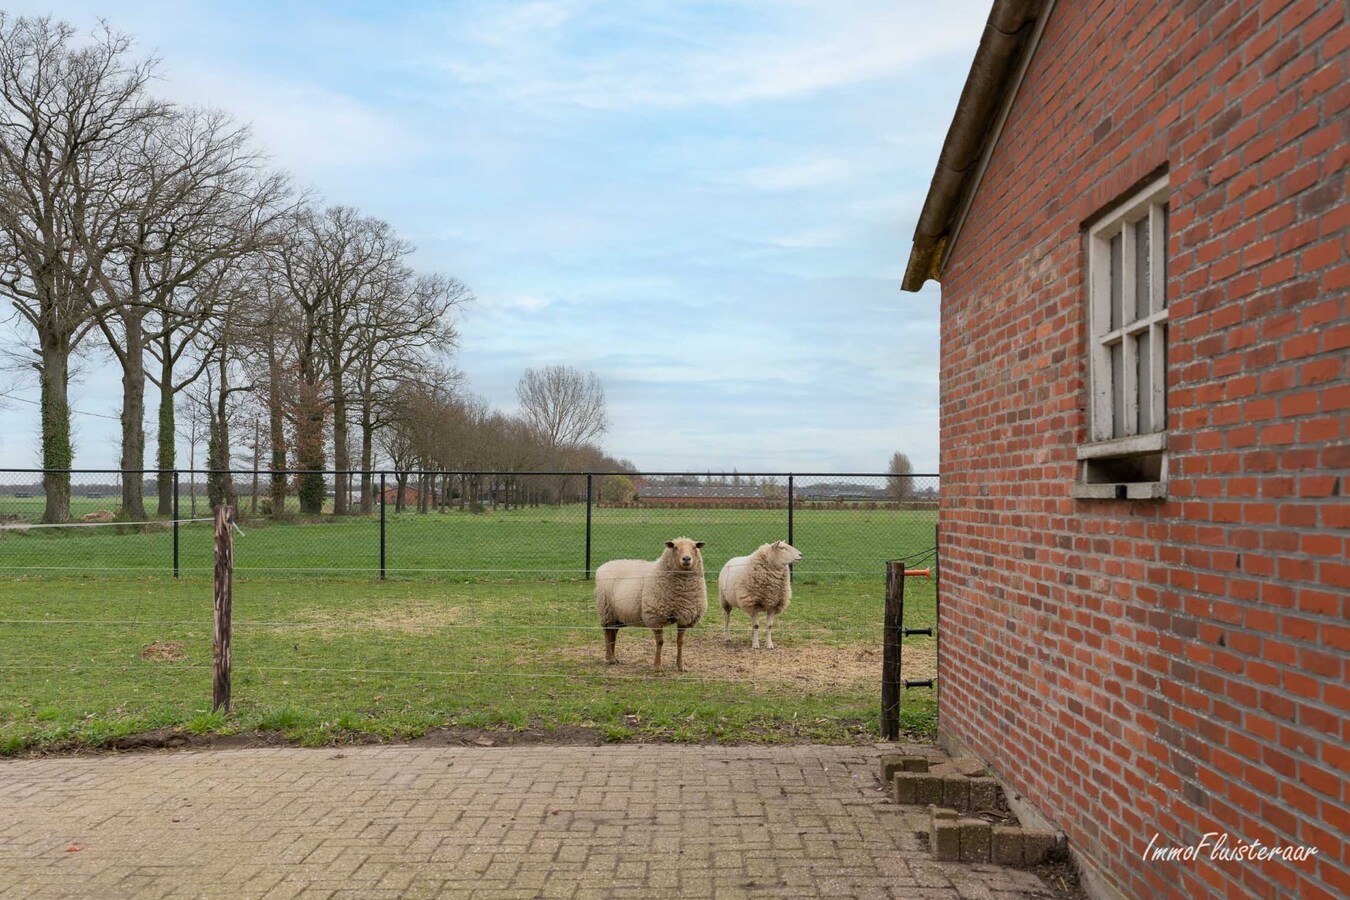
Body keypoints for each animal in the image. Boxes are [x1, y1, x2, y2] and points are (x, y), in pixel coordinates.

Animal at [596, 539, 712, 671]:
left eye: (694, 547)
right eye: (675, 547)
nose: (686, 559)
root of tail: (603, 566)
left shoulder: (684, 616)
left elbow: (680, 642)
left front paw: (681, 666)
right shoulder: (656, 616)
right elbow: (660, 642)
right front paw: (657, 666)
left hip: (618, 615)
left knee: (613, 633)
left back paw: (614, 658)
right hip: (606, 610)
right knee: (607, 632)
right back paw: (610, 658)